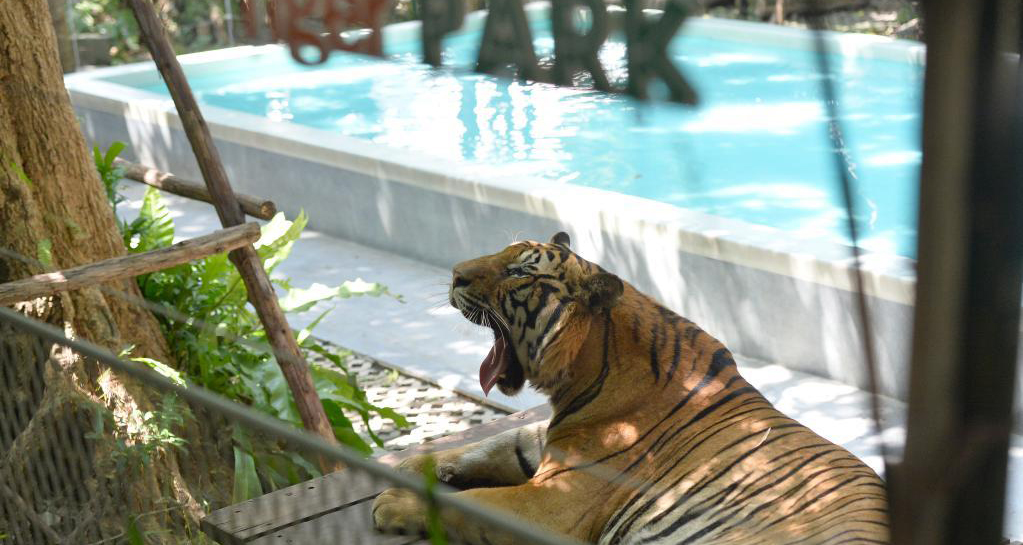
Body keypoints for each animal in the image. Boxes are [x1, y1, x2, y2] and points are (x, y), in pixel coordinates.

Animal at [374, 232, 887, 539]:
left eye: (520, 271)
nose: (454, 274)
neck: (582, 373)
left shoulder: (552, 503)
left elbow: (472, 502)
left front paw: (391, 503)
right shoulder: (542, 439)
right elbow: (487, 445)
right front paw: (412, 465)